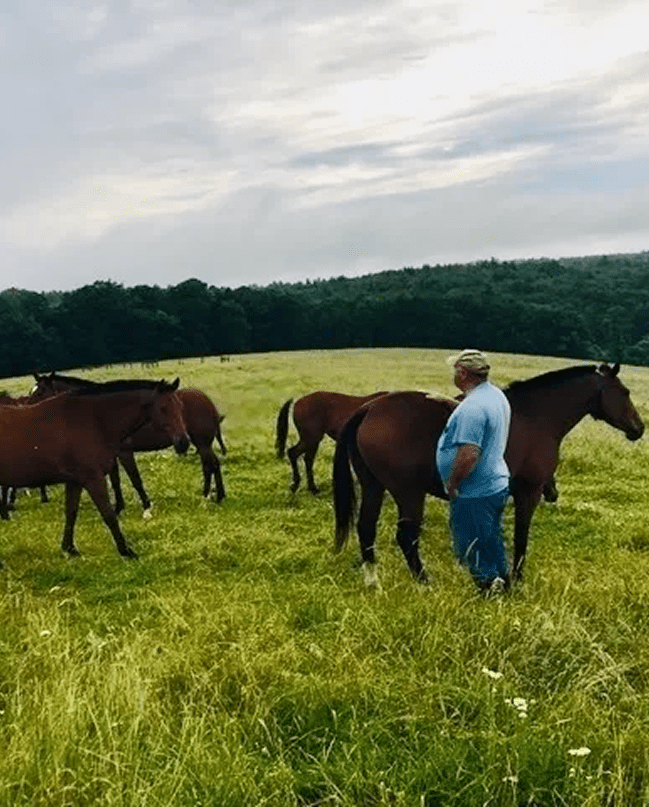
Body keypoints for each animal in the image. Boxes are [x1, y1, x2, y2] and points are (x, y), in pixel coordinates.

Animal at [0, 379, 189, 561]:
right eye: (163, 408)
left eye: (180, 406)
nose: (183, 442)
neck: (92, 421)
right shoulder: (93, 479)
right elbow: (109, 515)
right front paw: (126, 551)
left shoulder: (75, 481)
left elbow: (71, 513)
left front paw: (69, 549)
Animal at [30, 372, 227, 514]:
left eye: (39, 392)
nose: (28, 409)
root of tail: (207, 401)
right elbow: (115, 480)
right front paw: (119, 507)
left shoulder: (124, 452)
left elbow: (135, 478)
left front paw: (146, 505)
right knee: (211, 464)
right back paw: (214, 494)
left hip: (201, 443)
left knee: (211, 464)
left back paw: (211, 495)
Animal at [333, 363, 644, 587]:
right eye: (625, 392)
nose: (639, 428)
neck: (536, 417)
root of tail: (370, 408)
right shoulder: (528, 492)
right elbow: (520, 536)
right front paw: (516, 579)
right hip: (408, 493)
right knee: (406, 537)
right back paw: (423, 582)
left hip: (373, 486)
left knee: (366, 528)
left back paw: (373, 581)